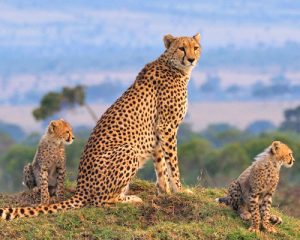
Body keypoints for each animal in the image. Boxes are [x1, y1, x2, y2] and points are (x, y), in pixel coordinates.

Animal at [1, 32, 202, 220]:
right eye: (182, 48)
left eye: (195, 47)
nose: (191, 59)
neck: (173, 66)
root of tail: (81, 189)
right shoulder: (167, 127)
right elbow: (172, 164)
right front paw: (180, 190)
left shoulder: (159, 132)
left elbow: (161, 166)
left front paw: (164, 192)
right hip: (128, 151)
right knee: (101, 201)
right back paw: (131, 199)